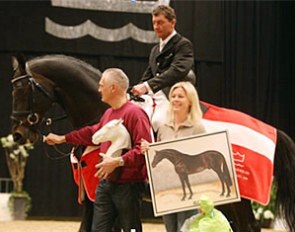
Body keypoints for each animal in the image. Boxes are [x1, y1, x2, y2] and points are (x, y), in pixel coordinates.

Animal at [8, 54, 295, 232]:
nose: (18, 135)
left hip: (240, 197)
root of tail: (270, 130)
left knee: (249, 226)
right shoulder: (91, 196)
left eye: (22, 90)